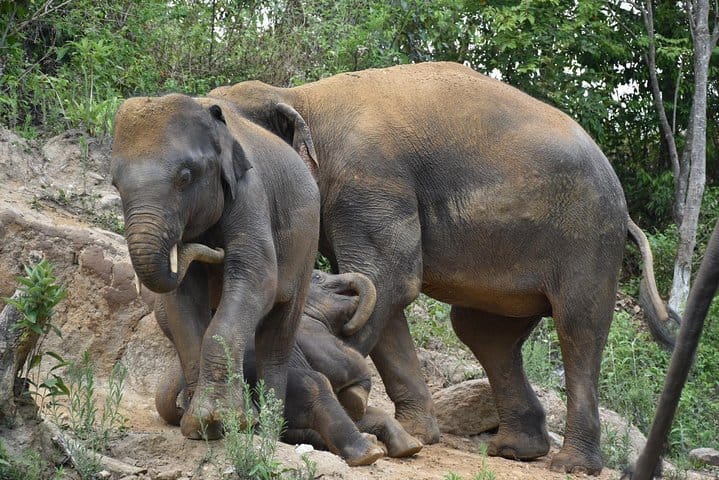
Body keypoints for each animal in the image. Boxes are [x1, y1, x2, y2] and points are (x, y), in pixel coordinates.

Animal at [110, 93, 320, 440]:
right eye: (115, 185)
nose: (214, 249)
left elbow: (256, 277)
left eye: (185, 177)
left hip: (306, 248)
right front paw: (200, 426)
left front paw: (220, 420)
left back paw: (267, 432)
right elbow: (182, 299)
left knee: (277, 335)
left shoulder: (250, 191)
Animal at [154, 269, 423, 466]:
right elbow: (350, 367)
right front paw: (357, 398)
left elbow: (360, 411)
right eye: (318, 277)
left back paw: (405, 446)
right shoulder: (315, 336)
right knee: (315, 387)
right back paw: (369, 452)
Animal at [207, 61, 674, 475]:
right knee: (483, 333)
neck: (299, 95)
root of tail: (626, 213)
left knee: (577, 327)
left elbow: (389, 278)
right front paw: (415, 435)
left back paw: (570, 465)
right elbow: (380, 292)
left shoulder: (369, 179)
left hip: (588, 238)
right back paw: (516, 451)